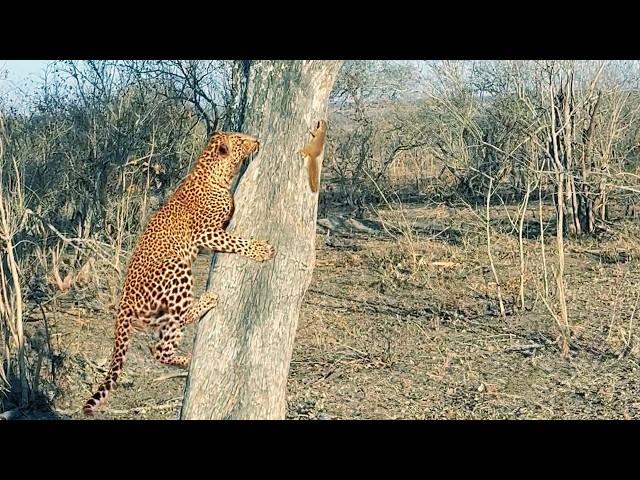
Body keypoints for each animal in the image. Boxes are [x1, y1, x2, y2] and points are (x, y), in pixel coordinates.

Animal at [82, 131, 276, 416]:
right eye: (240, 139)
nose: (257, 140)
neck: (215, 174)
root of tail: (123, 301)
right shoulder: (206, 233)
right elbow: (236, 241)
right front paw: (261, 249)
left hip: (159, 313)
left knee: (157, 347)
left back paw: (186, 358)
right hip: (177, 267)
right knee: (176, 324)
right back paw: (206, 303)